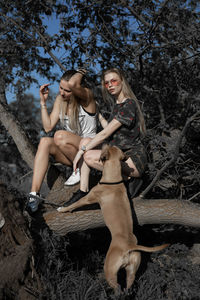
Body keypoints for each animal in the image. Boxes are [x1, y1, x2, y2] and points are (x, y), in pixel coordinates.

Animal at [57, 144, 169, 292]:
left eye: (108, 146)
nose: (105, 143)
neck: (113, 179)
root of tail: (129, 247)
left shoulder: (87, 199)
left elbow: (74, 204)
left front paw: (62, 209)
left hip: (109, 269)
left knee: (117, 287)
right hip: (132, 269)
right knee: (128, 284)